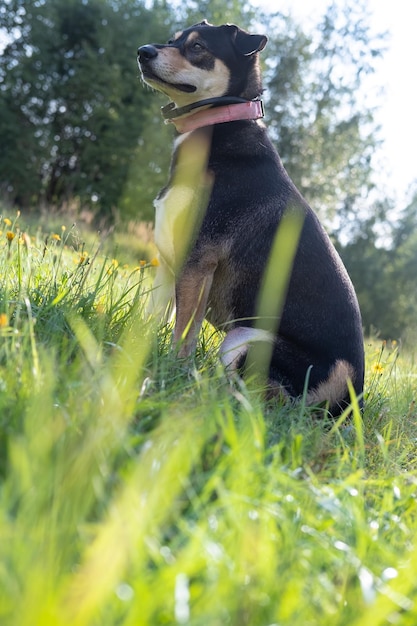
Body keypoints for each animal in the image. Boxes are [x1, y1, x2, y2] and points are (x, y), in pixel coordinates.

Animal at [137, 19, 364, 414]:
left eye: (197, 47)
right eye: (171, 41)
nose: (143, 52)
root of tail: (349, 401)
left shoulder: (197, 263)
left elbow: (182, 337)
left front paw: (168, 375)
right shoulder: (168, 264)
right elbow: (153, 322)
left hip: (245, 337)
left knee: (248, 402)